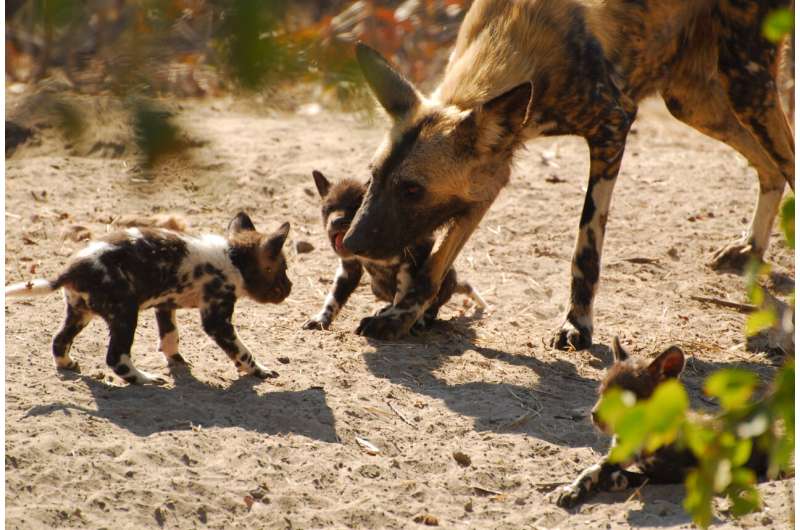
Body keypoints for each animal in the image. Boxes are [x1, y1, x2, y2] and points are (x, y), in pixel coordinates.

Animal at [4, 211, 292, 384]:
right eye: (283, 271)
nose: (291, 287)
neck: (234, 258)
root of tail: (72, 269)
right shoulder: (217, 319)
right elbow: (243, 351)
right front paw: (259, 370)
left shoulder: (164, 306)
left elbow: (170, 337)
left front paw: (176, 361)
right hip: (125, 314)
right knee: (116, 358)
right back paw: (145, 379)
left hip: (80, 313)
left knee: (59, 341)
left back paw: (68, 364)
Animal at [302, 169, 484, 332]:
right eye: (328, 208)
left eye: (355, 208)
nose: (337, 221)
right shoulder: (349, 269)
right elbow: (333, 299)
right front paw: (321, 319)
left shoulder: (408, 264)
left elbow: (403, 299)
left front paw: (389, 322)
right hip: (376, 287)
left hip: (445, 274)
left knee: (431, 305)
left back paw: (420, 320)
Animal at [342, 1, 792, 346]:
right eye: (374, 177)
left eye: (412, 190)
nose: (351, 243)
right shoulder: (491, 176)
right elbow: (433, 265)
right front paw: (402, 314)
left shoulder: (612, 127)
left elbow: (585, 250)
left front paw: (578, 325)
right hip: (694, 101)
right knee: (770, 169)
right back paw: (749, 248)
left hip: (746, 83)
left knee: (787, 161)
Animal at [552, 336, 764, 506]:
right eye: (601, 393)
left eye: (625, 400)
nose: (594, 415)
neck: (638, 434)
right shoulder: (616, 455)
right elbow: (590, 470)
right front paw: (571, 489)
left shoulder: (682, 473)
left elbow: (642, 477)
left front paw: (616, 479)